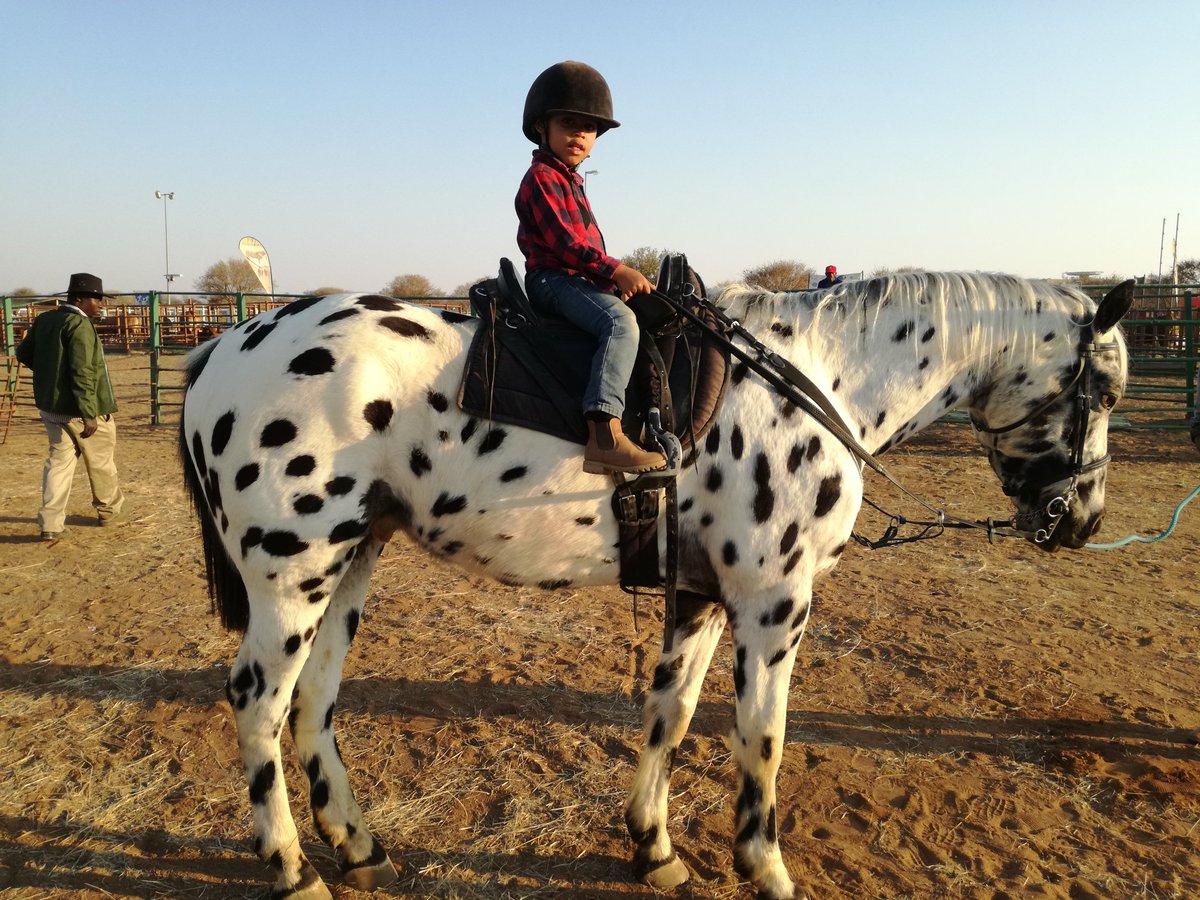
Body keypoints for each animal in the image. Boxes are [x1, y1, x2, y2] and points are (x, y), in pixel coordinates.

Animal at [178, 270, 1132, 899]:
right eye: (1107, 391)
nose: (1081, 520)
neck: (815, 376)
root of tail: (222, 345)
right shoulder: (773, 603)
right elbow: (762, 738)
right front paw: (765, 867)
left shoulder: (702, 594)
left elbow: (669, 713)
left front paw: (653, 846)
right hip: (293, 572)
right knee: (259, 702)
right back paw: (291, 868)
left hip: (352, 559)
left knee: (315, 702)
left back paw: (358, 846)